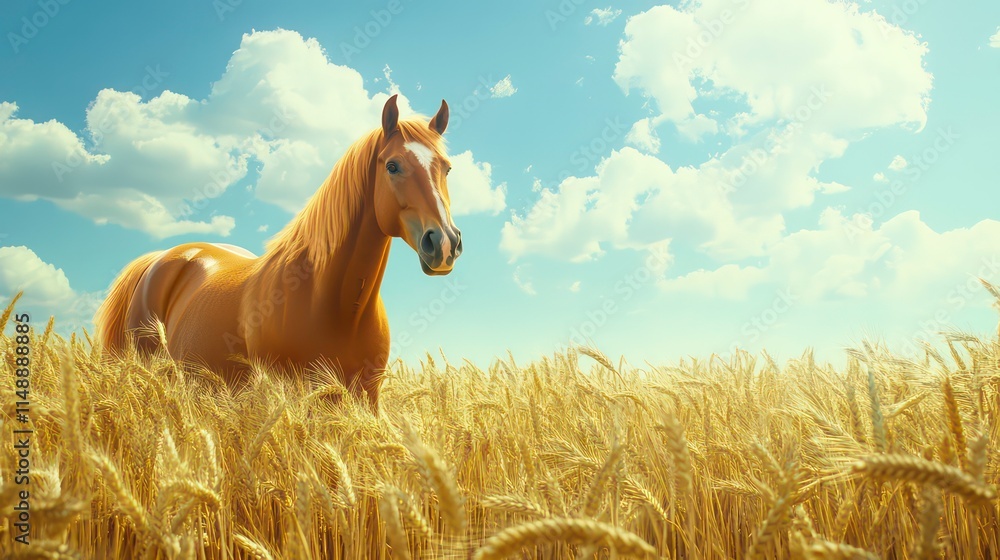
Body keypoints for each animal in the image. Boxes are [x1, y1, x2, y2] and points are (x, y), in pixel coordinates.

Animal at [94, 96, 464, 410]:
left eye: (446, 168)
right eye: (392, 166)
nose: (444, 243)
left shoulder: (364, 397)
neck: (334, 304)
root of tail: (161, 257)